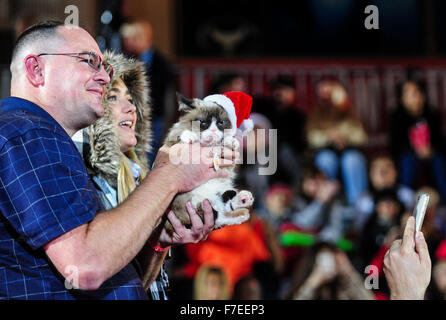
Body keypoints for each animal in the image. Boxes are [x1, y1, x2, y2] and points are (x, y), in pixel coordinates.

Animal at [163, 92, 254, 232]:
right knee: (214, 214)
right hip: (188, 201)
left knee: (222, 212)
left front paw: (230, 141)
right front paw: (189, 135)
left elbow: (228, 141)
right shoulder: (169, 143)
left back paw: (243, 199)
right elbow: (180, 134)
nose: (213, 131)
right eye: (203, 122)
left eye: (221, 123)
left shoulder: (228, 165)